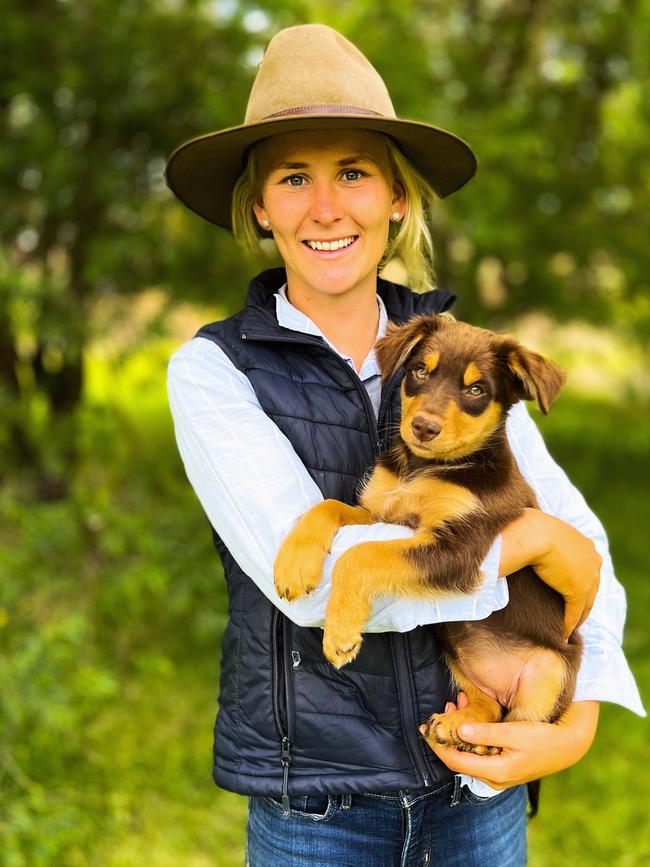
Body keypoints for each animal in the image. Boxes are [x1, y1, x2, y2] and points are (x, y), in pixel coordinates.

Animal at [274, 316, 584, 756]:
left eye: (476, 390)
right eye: (421, 371)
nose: (423, 427)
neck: (425, 468)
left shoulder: (461, 547)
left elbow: (361, 556)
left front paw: (341, 635)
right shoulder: (380, 512)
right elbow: (327, 506)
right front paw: (294, 565)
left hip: (551, 673)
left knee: (523, 727)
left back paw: (486, 746)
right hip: (458, 654)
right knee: (491, 705)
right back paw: (457, 726)